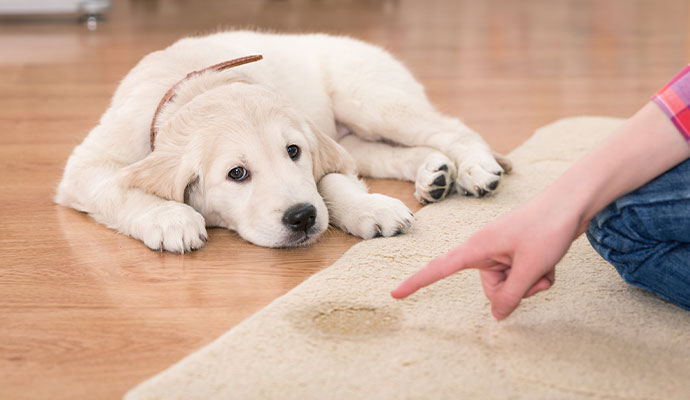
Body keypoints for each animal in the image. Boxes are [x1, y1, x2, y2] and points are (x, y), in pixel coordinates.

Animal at [56, 31, 508, 252]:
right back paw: (434, 173)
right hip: (356, 134)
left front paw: (369, 207)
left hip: (370, 100)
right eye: (237, 173)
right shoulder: (87, 166)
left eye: (293, 152)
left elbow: (330, 182)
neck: (197, 85)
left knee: (452, 128)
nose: (302, 217)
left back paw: (475, 169)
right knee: (388, 154)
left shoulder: (320, 148)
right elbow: (117, 188)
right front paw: (170, 219)